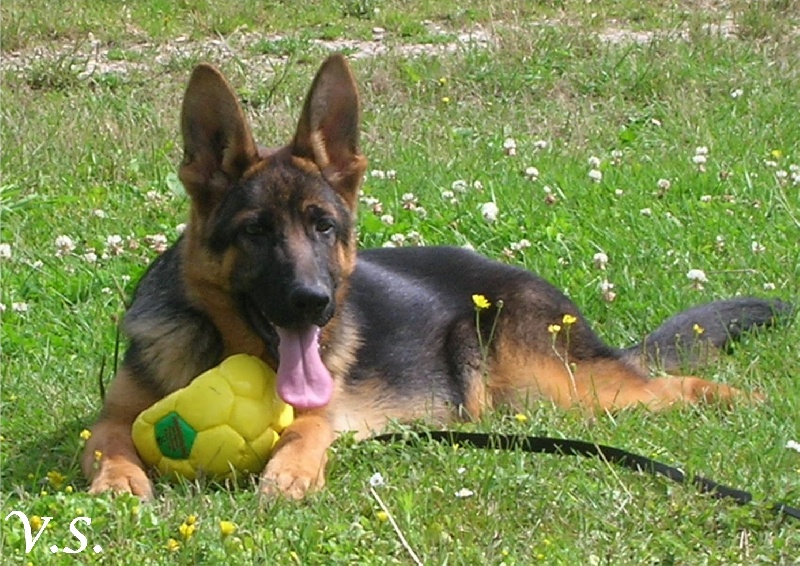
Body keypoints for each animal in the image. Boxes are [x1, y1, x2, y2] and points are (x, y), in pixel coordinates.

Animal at [83, 56, 788, 502]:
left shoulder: (321, 411)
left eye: (323, 227)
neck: (222, 348)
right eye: (255, 232)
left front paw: (292, 473)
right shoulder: (112, 414)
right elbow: (111, 436)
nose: (314, 304)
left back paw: (742, 399)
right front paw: (119, 479)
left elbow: (308, 428)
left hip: (563, 390)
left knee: (667, 383)